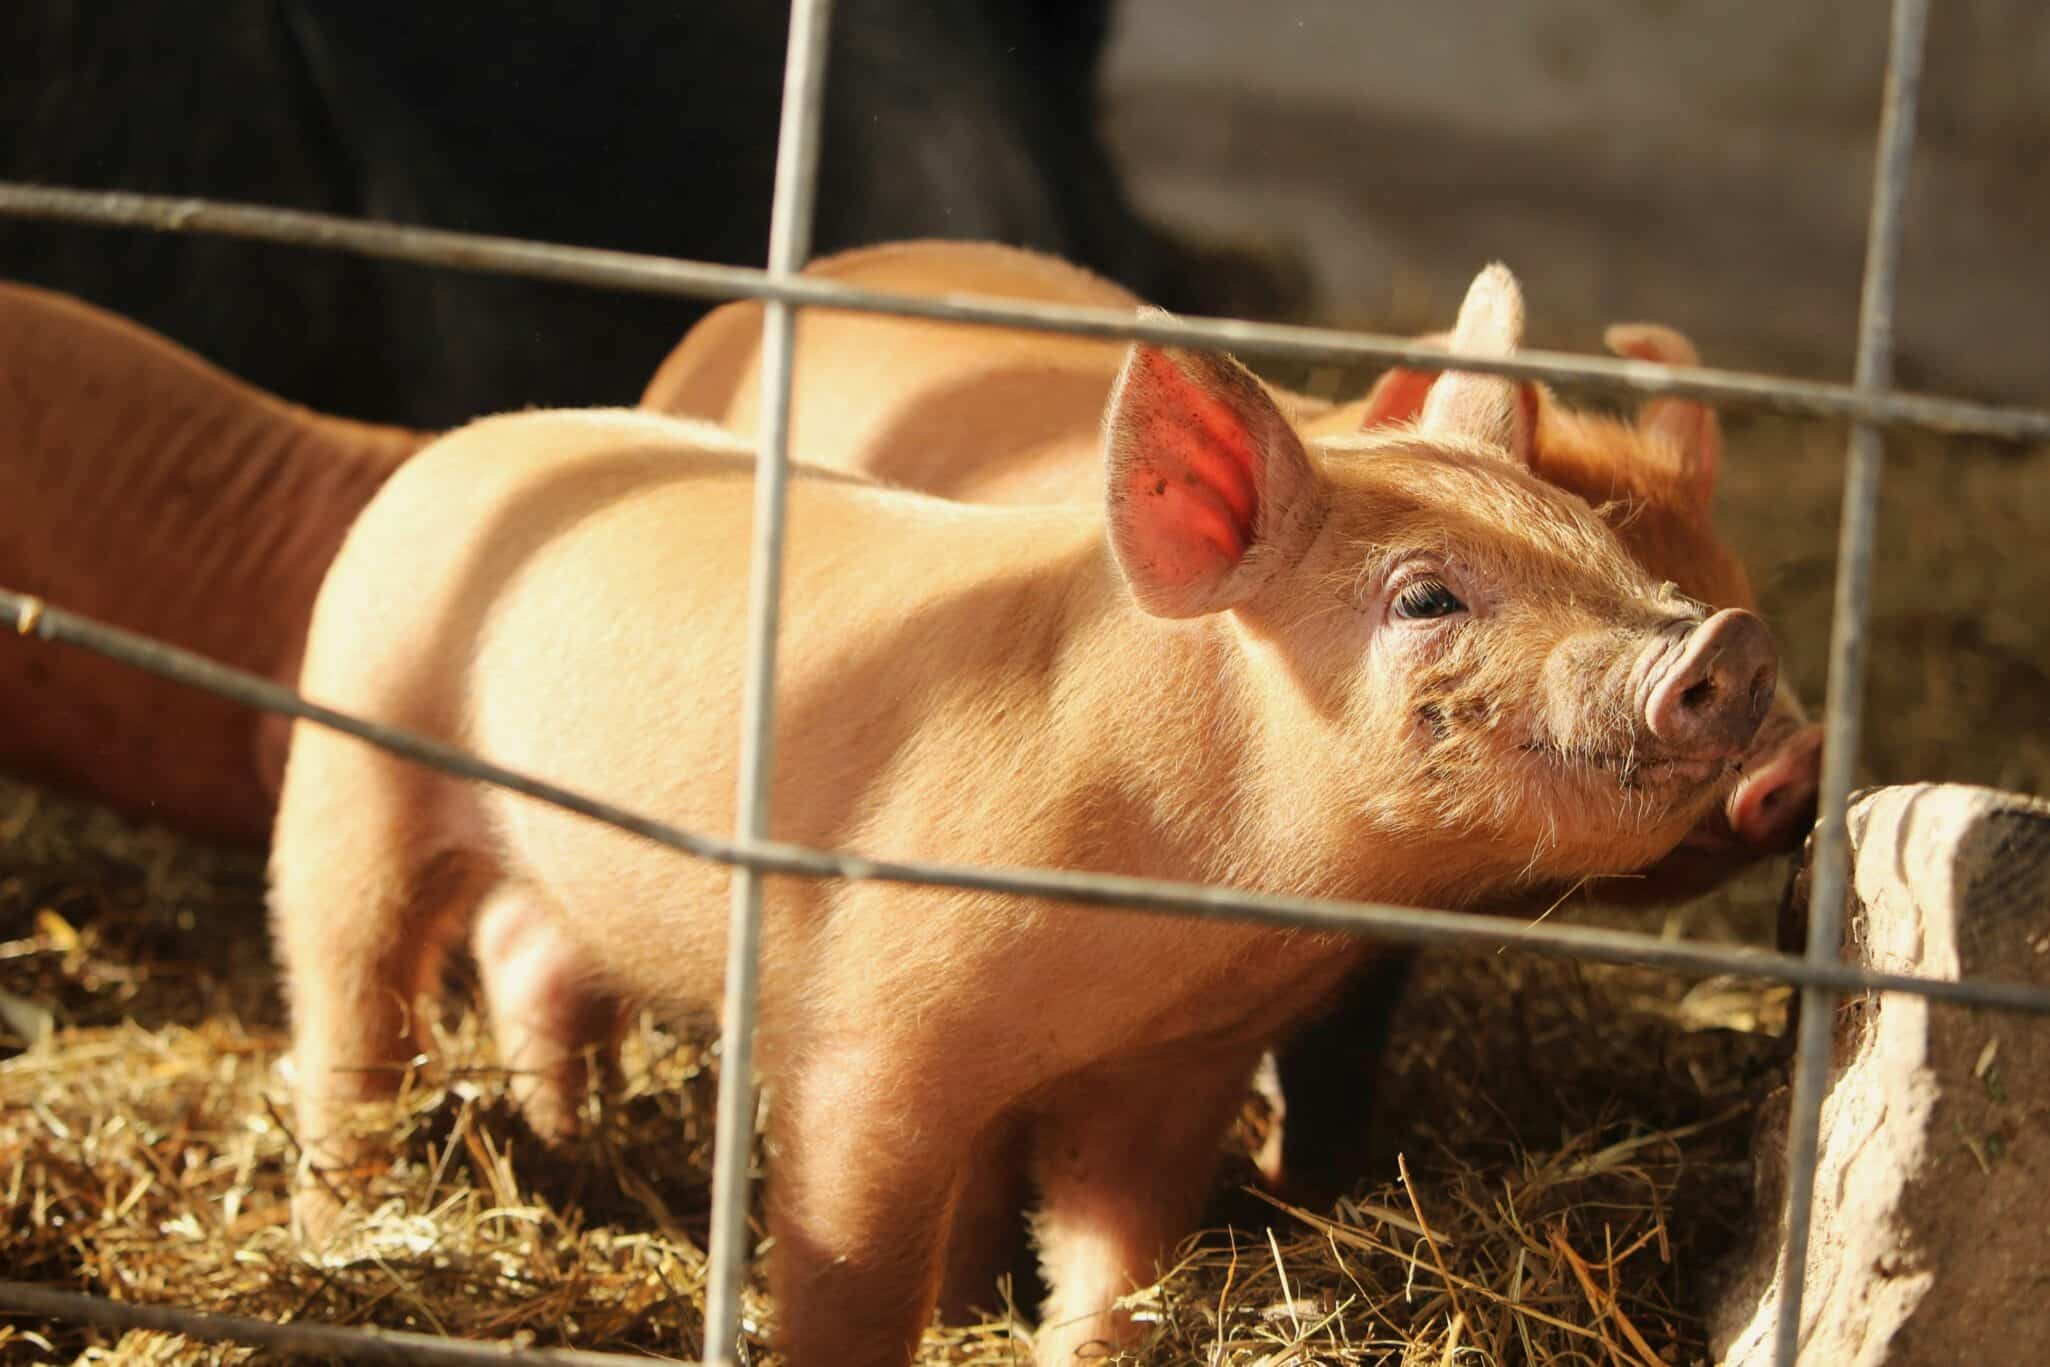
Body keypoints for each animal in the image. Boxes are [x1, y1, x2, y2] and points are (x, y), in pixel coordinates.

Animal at [272, 262, 1779, 1366]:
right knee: (350, 1004)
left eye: (1600, 544)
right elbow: (856, 1264)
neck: (1183, 919)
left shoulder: (1182, 1066)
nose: (1725, 641)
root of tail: (475, 444)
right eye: (1423, 595)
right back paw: (341, 1219)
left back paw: (563, 1139)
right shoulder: (872, 1037)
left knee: (525, 947)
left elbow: (1117, 1254)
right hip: (349, 761)